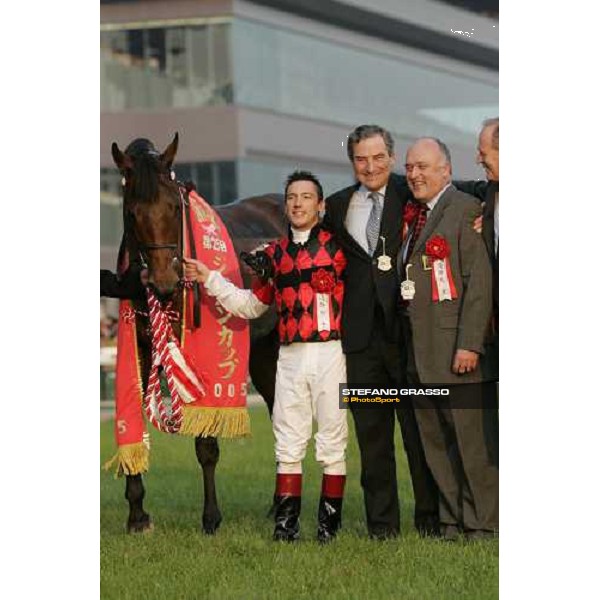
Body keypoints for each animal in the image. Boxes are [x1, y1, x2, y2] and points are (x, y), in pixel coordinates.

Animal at [110, 134, 286, 532]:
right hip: (264, 352)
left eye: (175, 207)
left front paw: (211, 517)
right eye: (131, 213)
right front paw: (137, 514)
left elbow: (206, 442)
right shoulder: (140, 346)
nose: (163, 282)